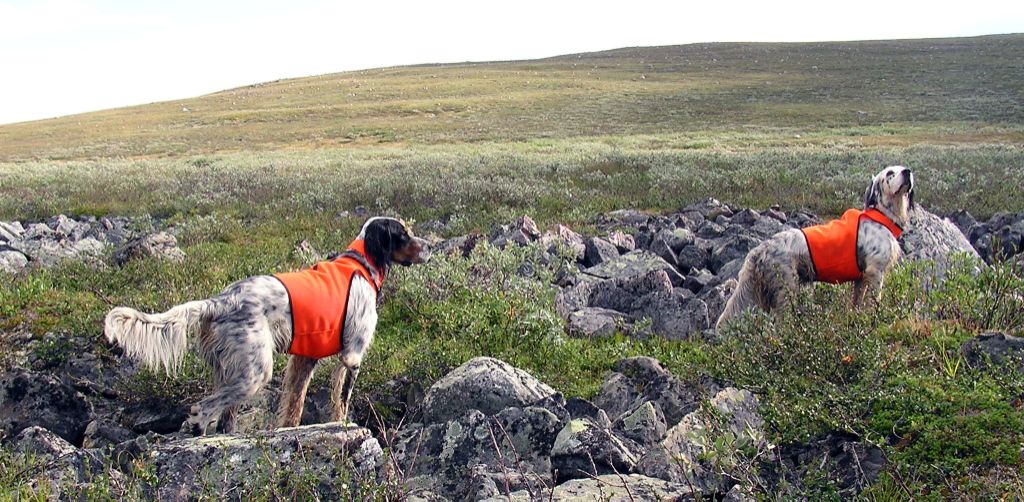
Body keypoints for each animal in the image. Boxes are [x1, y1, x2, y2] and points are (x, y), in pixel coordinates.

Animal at [107, 217, 432, 434]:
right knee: (205, 407)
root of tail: (219, 301)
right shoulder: (352, 355)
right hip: (255, 371)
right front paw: (341, 424)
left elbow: (294, 407)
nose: (429, 246)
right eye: (403, 234)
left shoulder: (304, 359)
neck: (361, 262)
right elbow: (341, 400)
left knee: (225, 415)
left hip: (229, 369)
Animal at [716, 164, 917, 331]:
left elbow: (857, 303)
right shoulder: (875, 273)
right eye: (890, 173)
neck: (882, 217)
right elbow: (874, 303)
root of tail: (760, 249)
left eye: (903, 168)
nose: (907, 172)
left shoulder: (861, 279)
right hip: (786, 290)